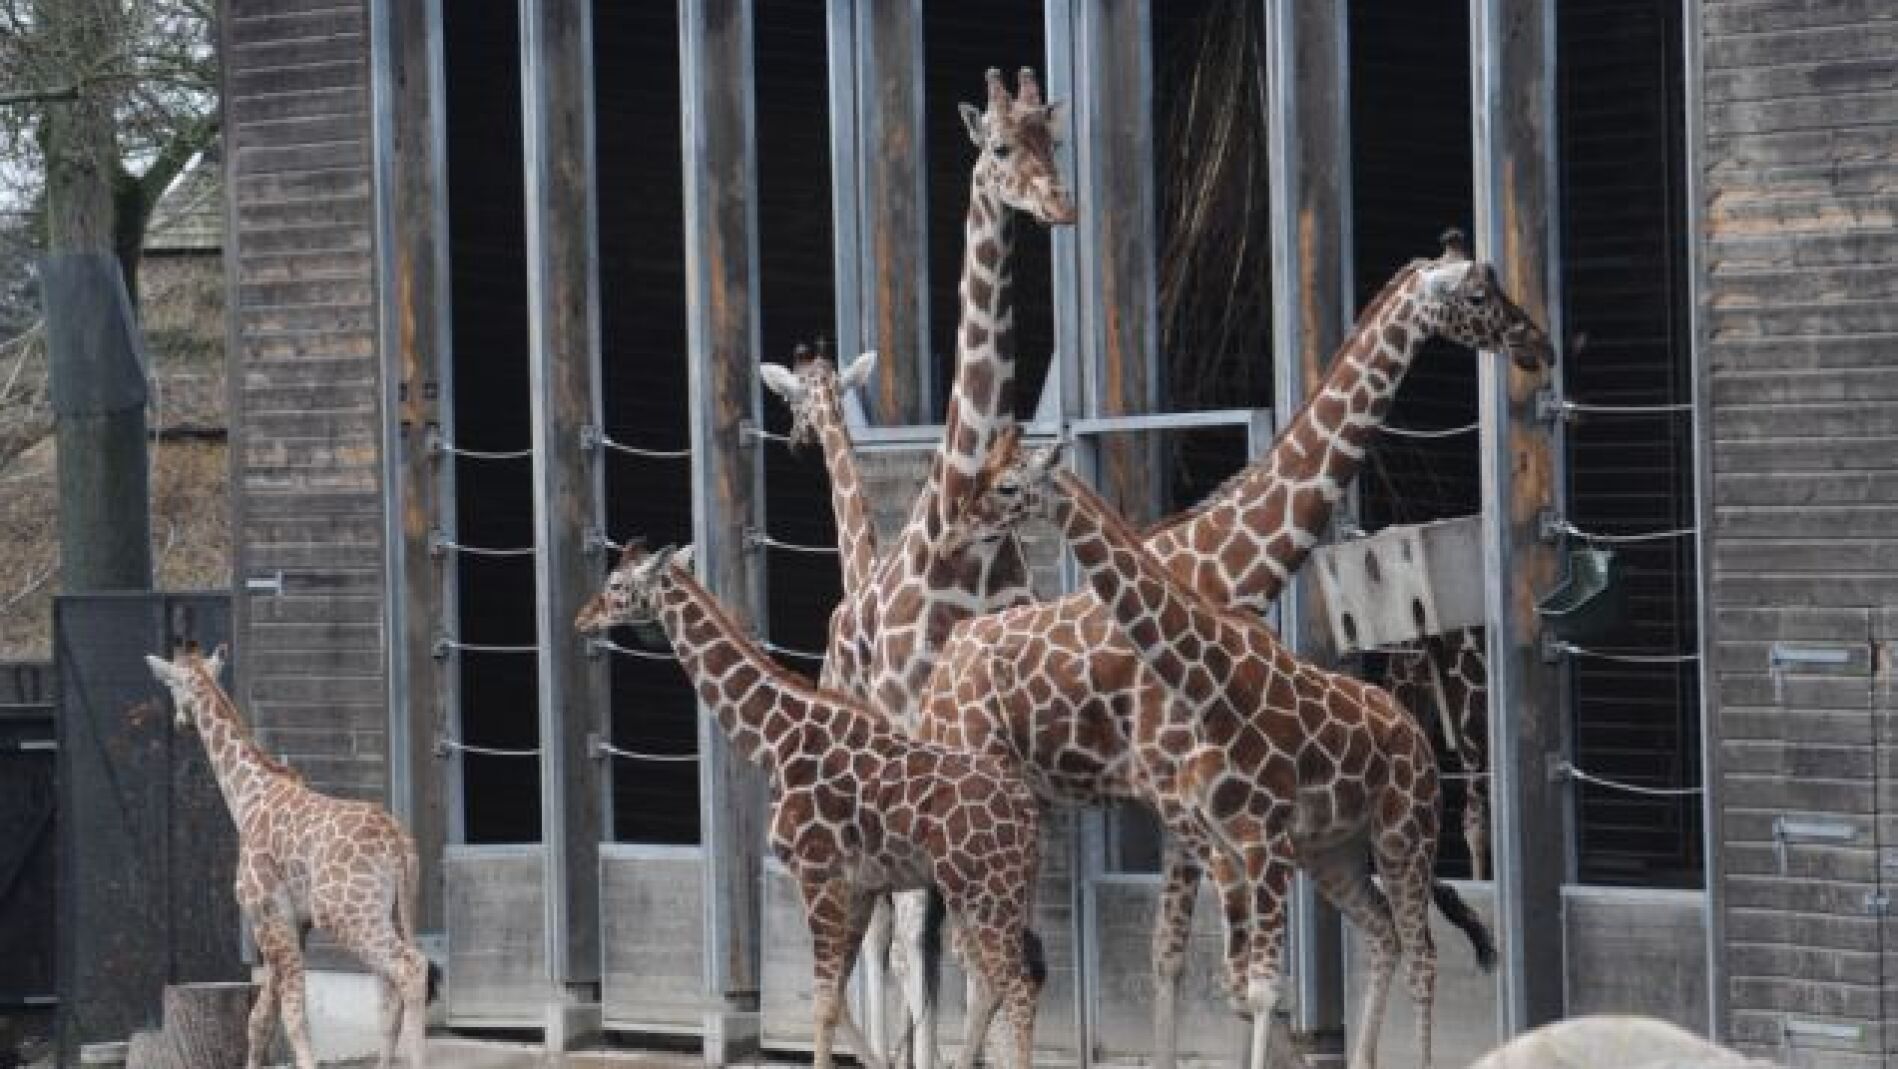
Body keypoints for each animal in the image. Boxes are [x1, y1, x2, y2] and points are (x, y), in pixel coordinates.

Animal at [144, 645, 435, 1069]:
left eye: (170, 685)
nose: (181, 722)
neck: (246, 796)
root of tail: (397, 841)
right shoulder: (293, 922)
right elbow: (261, 1016)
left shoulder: (266, 913)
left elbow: (291, 1013)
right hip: (393, 908)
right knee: (389, 988)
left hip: (345, 911)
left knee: (410, 967)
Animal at [575, 543, 1046, 1069]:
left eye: (617, 585)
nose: (581, 617)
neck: (776, 741)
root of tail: (1026, 812)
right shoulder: (859, 883)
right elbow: (836, 996)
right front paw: (877, 1061)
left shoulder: (816, 870)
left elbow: (822, 1001)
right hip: (978, 889)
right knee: (989, 981)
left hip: (991, 890)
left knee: (1018, 987)